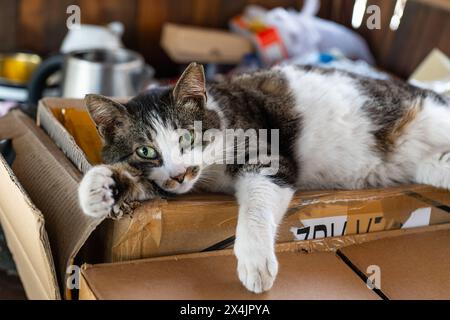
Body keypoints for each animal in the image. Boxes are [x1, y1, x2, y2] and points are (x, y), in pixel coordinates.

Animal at [79, 61, 450, 294]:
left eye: (187, 136)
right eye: (145, 151)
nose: (180, 173)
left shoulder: (267, 158)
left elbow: (257, 203)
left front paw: (255, 261)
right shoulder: (170, 184)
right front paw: (99, 186)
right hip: (421, 167)